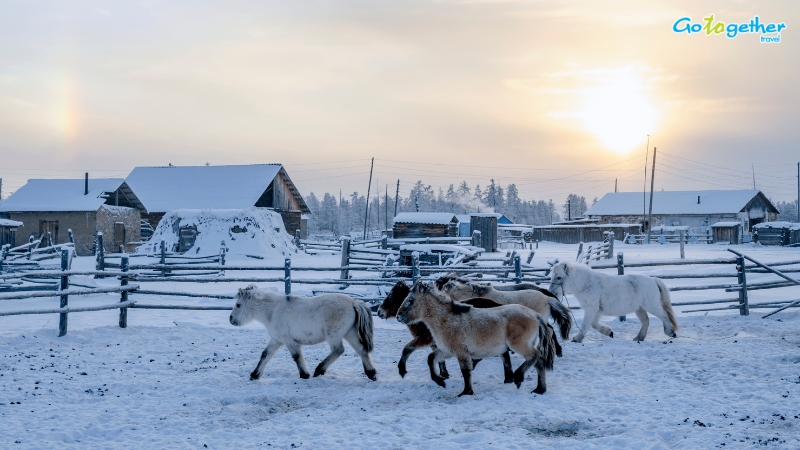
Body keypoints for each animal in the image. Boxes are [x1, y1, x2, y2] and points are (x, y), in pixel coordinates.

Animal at [228, 284, 378, 380]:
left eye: (238, 305)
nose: (231, 319)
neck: (273, 311)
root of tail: (353, 302)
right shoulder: (276, 340)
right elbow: (265, 355)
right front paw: (254, 375)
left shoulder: (289, 341)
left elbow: (296, 357)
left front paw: (305, 375)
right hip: (349, 333)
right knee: (361, 350)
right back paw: (371, 373)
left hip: (334, 336)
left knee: (338, 350)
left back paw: (319, 370)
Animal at [378, 282, 516, 384]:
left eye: (392, 296)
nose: (379, 312)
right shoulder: (437, 343)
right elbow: (438, 359)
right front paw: (443, 374)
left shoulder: (424, 339)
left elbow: (407, 349)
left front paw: (402, 370)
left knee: (503, 355)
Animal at [396, 282, 556, 398]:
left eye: (410, 300)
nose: (398, 316)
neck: (447, 319)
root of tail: (535, 315)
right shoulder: (448, 351)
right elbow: (431, 359)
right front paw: (440, 381)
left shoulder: (461, 352)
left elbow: (466, 371)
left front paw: (466, 392)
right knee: (539, 362)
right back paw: (539, 389)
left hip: (519, 345)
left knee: (535, 356)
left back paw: (518, 377)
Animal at [548, 260, 680, 342]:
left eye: (559, 277)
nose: (552, 293)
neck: (587, 284)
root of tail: (653, 280)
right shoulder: (595, 311)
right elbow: (593, 324)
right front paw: (609, 332)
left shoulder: (591, 309)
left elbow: (585, 324)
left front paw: (577, 338)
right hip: (640, 309)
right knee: (645, 321)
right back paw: (639, 338)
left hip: (651, 306)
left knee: (664, 315)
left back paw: (670, 332)